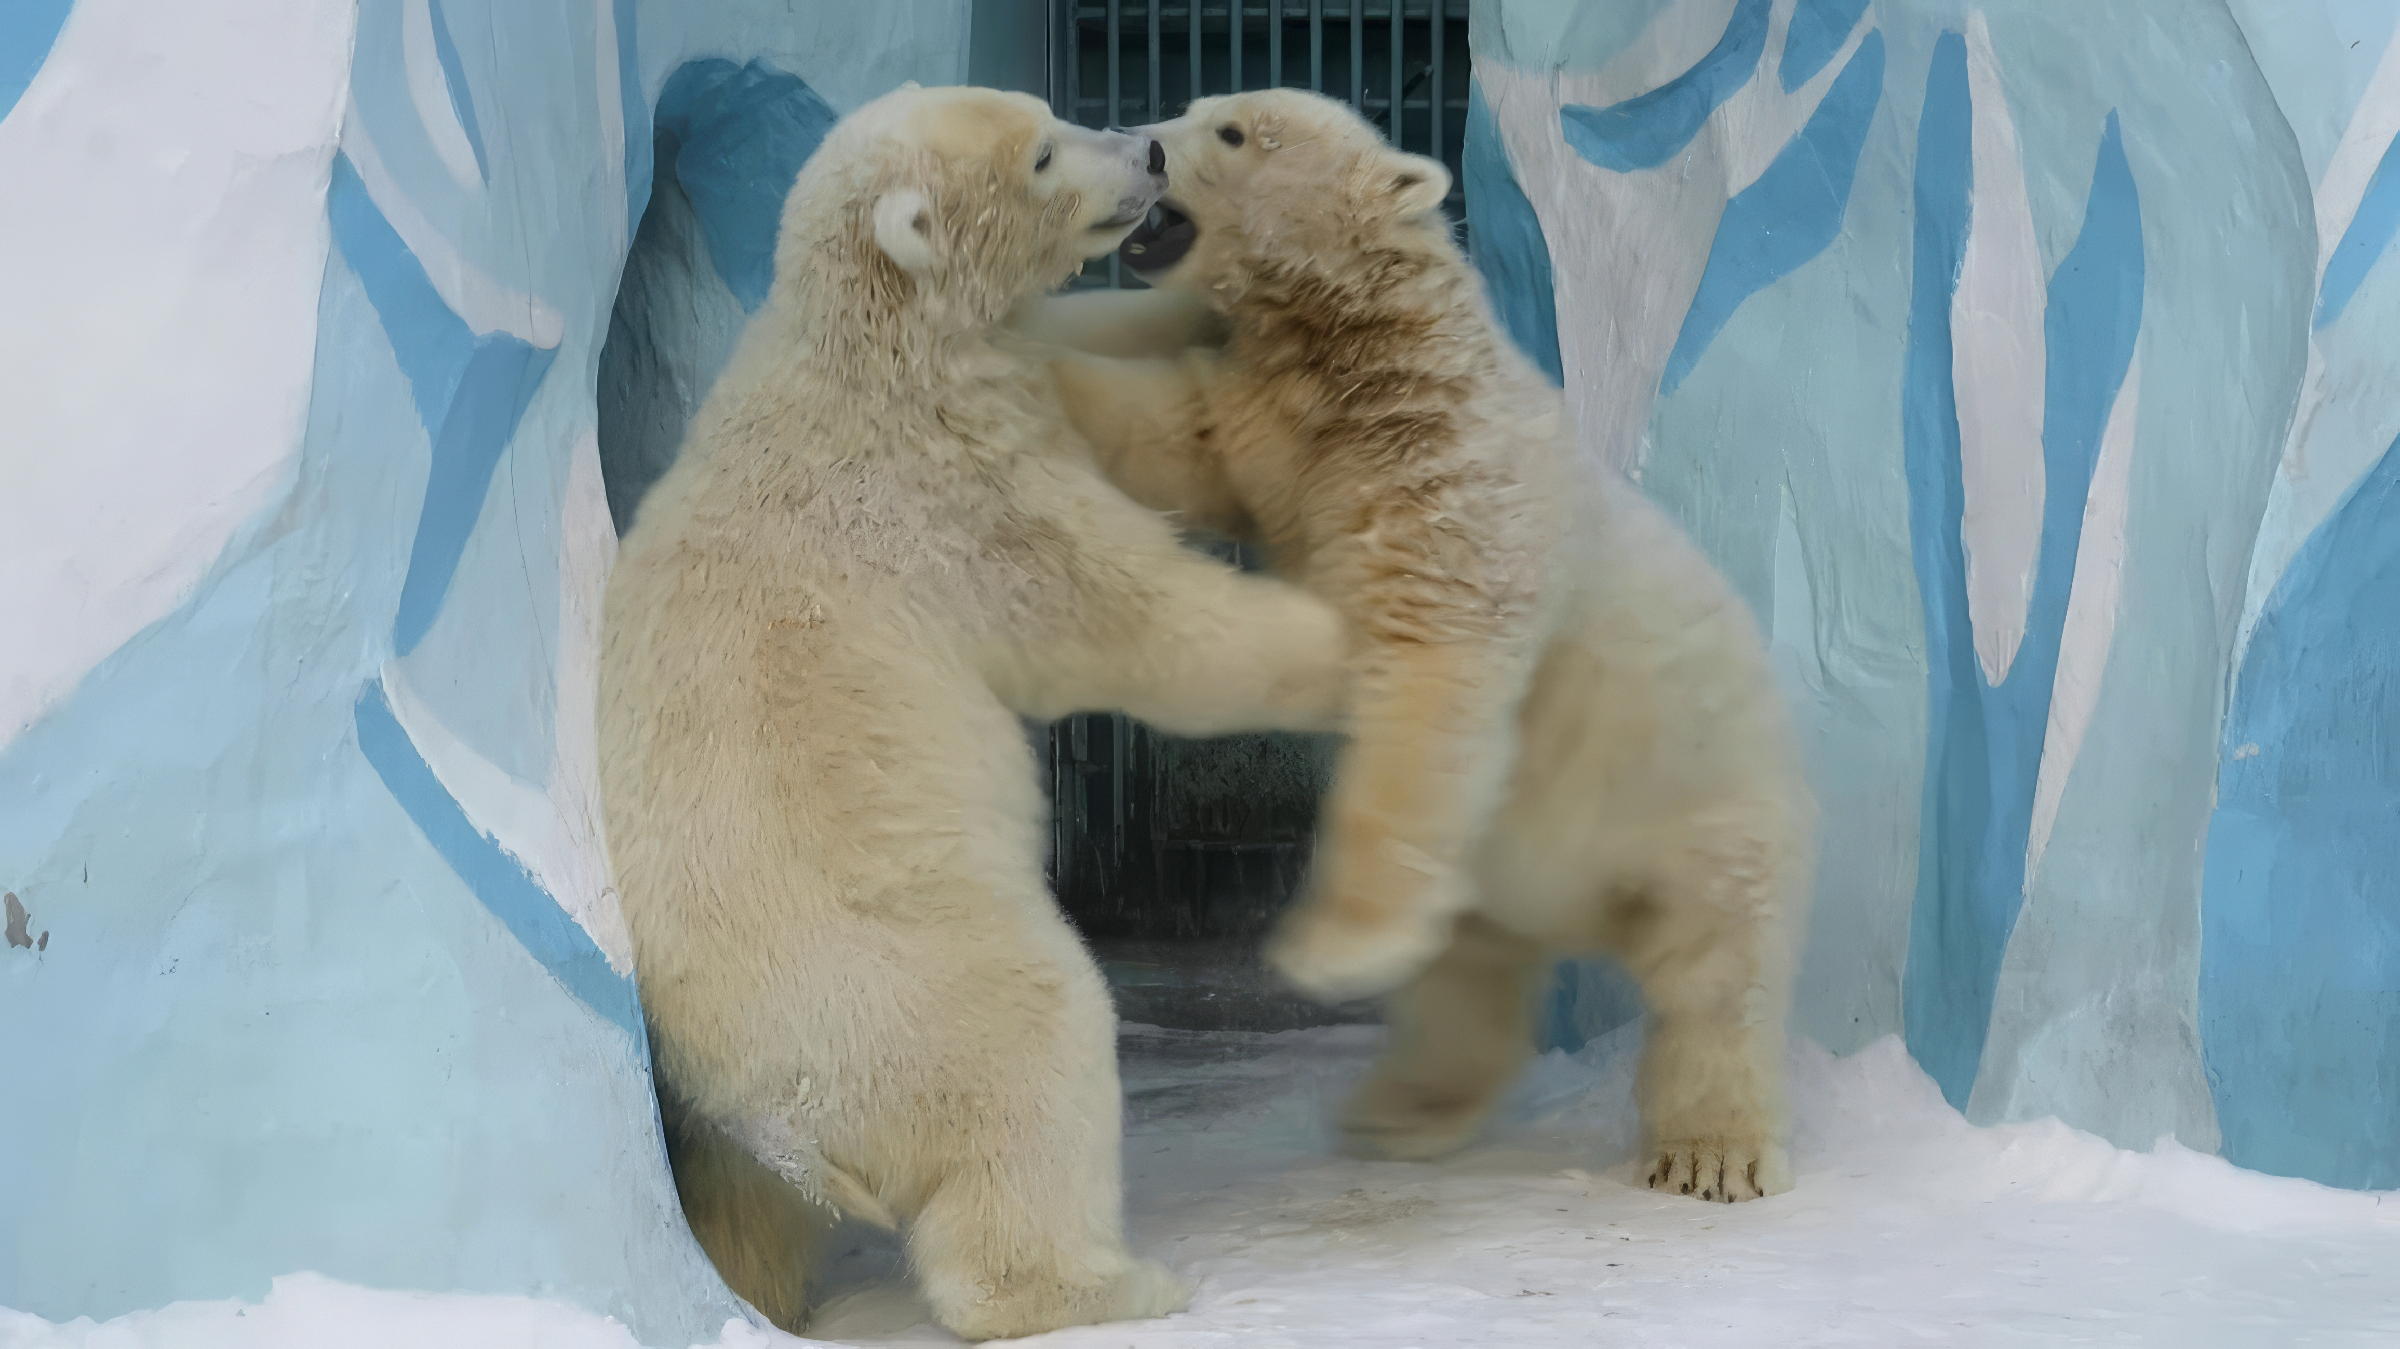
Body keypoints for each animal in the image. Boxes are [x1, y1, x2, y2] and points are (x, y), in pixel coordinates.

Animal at [592, 84, 1363, 1334]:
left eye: (1056, 117)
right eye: (1045, 153)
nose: (1148, 153)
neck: (870, 350)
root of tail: (770, 1103)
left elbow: (1088, 346)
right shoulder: (956, 501)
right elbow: (1152, 622)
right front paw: (1368, 632)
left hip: (738, 1117)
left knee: (748, 1207)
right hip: (905, 988)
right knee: (1038, 1052)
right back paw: (1105, 1281)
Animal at [1022, 86, 1804, 1195]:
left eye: (1231, 130)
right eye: (1199, 110)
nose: (1141, 140)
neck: (1375, 353)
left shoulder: (1443, 490)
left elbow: (1432, 683)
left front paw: (1327, 954)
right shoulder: (1277, 428)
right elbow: (1171, 426)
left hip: (1706, 807)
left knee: (1715, 974)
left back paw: (1711, 1153)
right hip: (1502, 866)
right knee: (1464, 975)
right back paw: (1402, 1109)